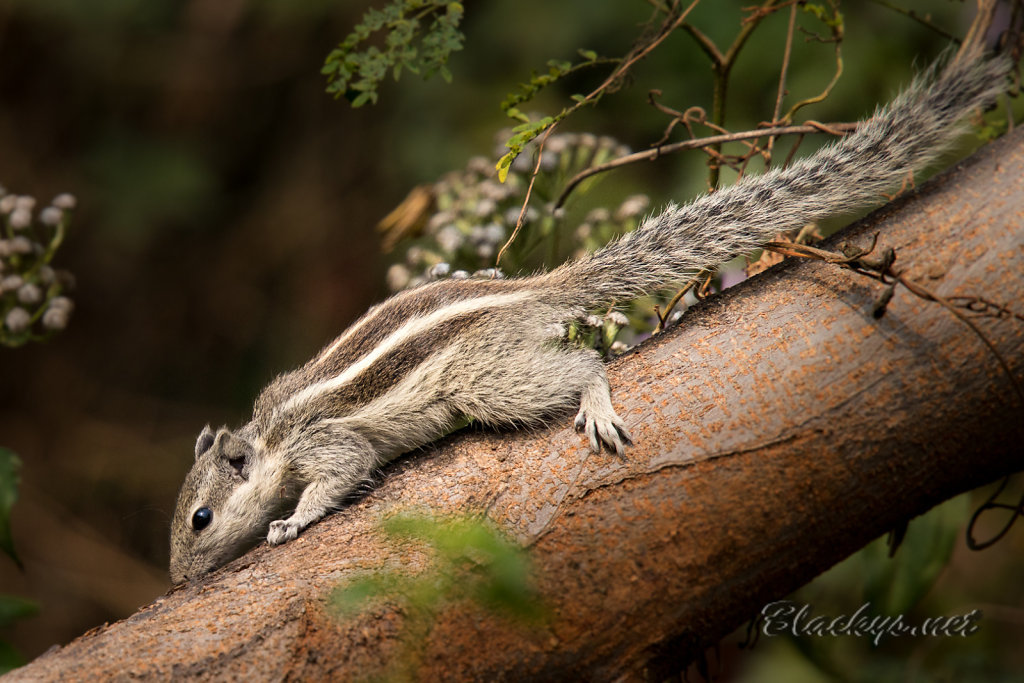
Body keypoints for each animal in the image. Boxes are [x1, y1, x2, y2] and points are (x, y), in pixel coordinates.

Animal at [169, 45, 1007, 585]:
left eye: (200, 518)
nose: (177, 578)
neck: (268, 436)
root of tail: (532, 291)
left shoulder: (328, 441)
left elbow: (336, 476)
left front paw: (292, 521)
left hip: (485, 378)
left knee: (583, 362)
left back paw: (597, 399)